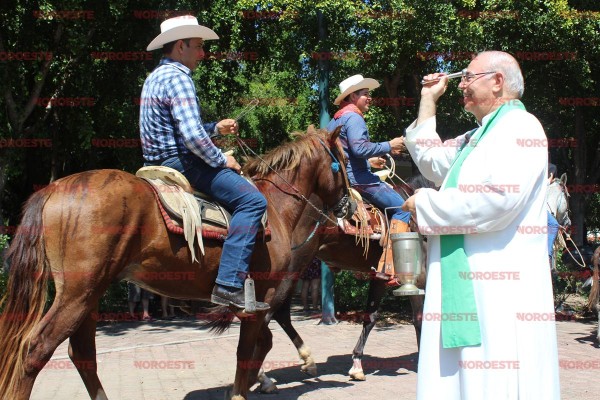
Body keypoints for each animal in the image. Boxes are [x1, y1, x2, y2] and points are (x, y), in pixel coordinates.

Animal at [0, 126, 352, 400]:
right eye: (344, 161)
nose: (349, 206)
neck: (275, 208)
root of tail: (53, 189)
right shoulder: (258, 299)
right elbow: (247, 352)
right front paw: (244, 389)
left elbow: (257, 347)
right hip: (77, 292)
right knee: (35, 349)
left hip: (88, 294)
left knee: (82, 352)